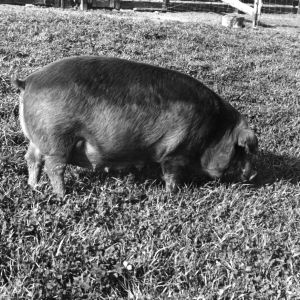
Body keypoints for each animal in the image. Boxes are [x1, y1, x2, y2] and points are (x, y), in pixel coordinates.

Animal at [12, 56, 258, 197]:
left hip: (38, 138)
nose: (253, 175)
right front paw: (173, 195)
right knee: (54, 167)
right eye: (242, 150)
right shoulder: (176, 151)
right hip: (58, 137)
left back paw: (34, 187)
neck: (214, 131)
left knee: (32, 159)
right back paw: (63, 195)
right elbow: (171, 174)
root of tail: (29, 81)